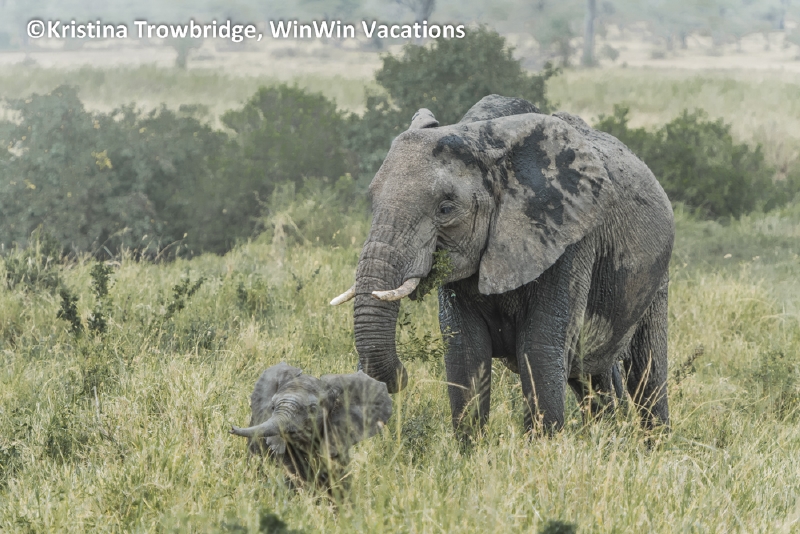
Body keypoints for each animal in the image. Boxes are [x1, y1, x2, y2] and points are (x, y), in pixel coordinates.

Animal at [331, 95, 674, 435]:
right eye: (372, 201)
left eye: (445, 209)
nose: (403, 374)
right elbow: (465, 353)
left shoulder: (566, 238)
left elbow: (539, 350)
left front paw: (543, 446)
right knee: (592, 374)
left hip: (658, 274)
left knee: (646, 371)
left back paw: (653, 441)